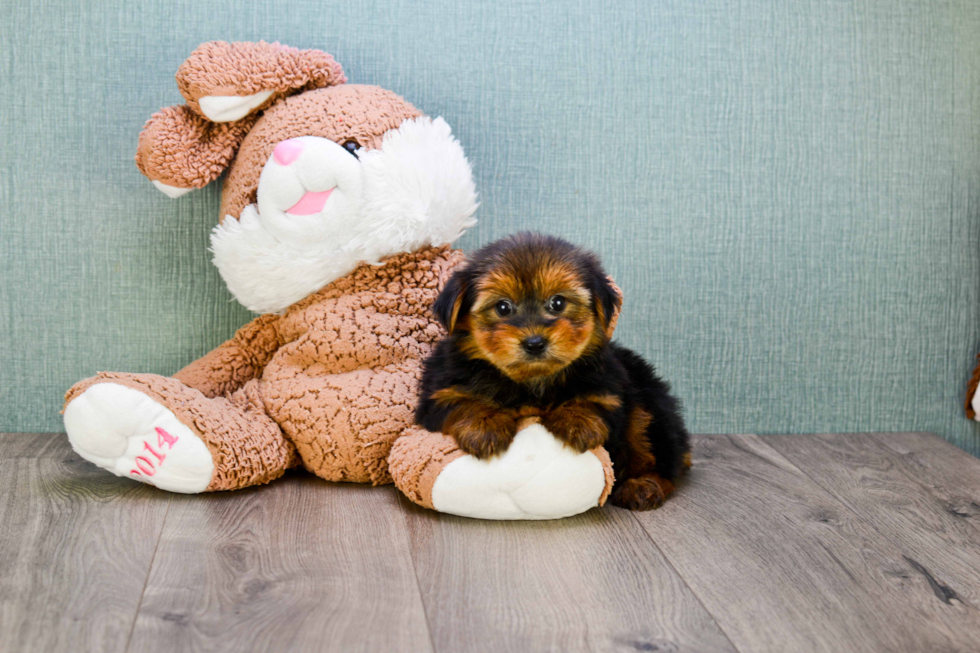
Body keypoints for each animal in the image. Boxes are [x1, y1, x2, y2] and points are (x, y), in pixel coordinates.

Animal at [418, 232, 692, 512]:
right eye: (503, 308)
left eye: (558, 303)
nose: (535, 342)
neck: (531, 380)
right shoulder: (439, 393)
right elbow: (462, 403)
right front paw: (484, 425)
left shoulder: (610, 388)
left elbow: (595, 400)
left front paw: (577, 420)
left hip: (649, 406)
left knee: (656, 450)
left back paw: (644, 485)